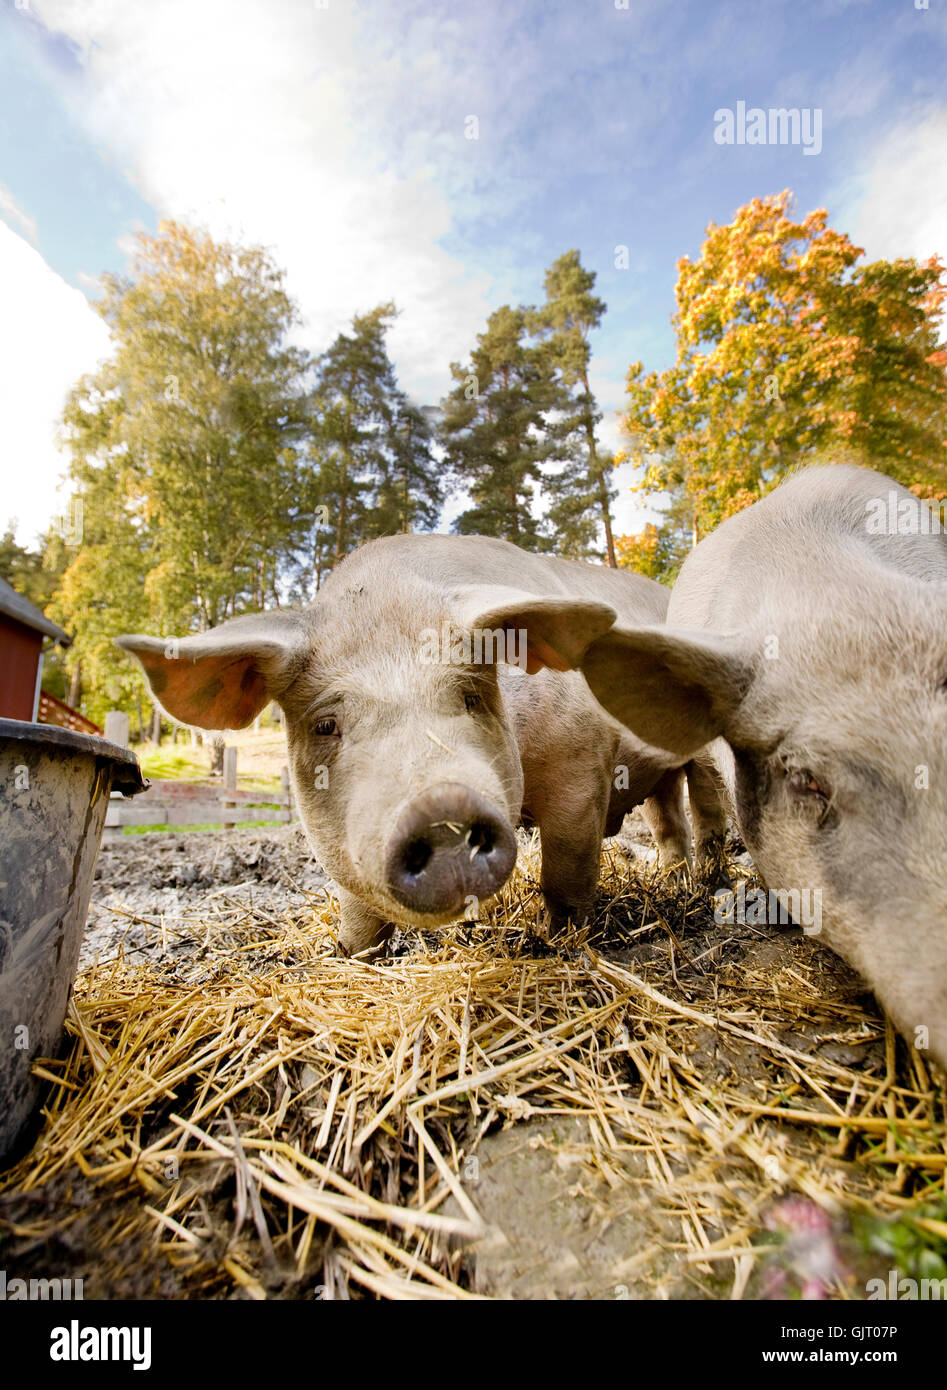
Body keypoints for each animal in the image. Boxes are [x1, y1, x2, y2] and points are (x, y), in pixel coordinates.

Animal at [114, 539, 717, 956]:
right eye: (326, 725)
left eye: (471, 697)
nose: (440, 806)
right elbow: (358, 913)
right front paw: (353, 956)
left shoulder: (581, 764)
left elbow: (565, 874)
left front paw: (561, 943)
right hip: (660, 778)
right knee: (669, 821)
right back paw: (676, 880)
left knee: (708, 809)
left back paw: (710, 884)